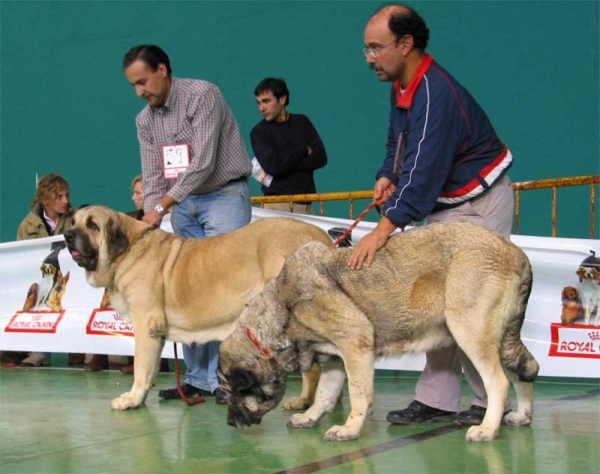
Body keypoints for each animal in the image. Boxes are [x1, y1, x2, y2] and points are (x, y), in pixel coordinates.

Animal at [65, 206, 332, 412]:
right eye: (74, 222)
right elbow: (150, 369)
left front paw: (132, 399)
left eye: (93, 225)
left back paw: (304, 402)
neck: (128, 249)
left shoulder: (145, 325)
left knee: (313, 368)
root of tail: (319, 235)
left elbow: (141, 367)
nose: (67, 235)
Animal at [217, 222, 540, 444]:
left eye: (234, 391)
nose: (230, 424)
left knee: (498, 382)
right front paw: (311, 417)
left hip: (470, 333)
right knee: (524, 372)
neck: (284, 306)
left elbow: (359, 394)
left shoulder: (355, 346)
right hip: (499, 340)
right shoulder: (334, 358)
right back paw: (522, 416)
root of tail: (518, 254)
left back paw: (487, 428)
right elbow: (324, 395)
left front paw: (350, 429)